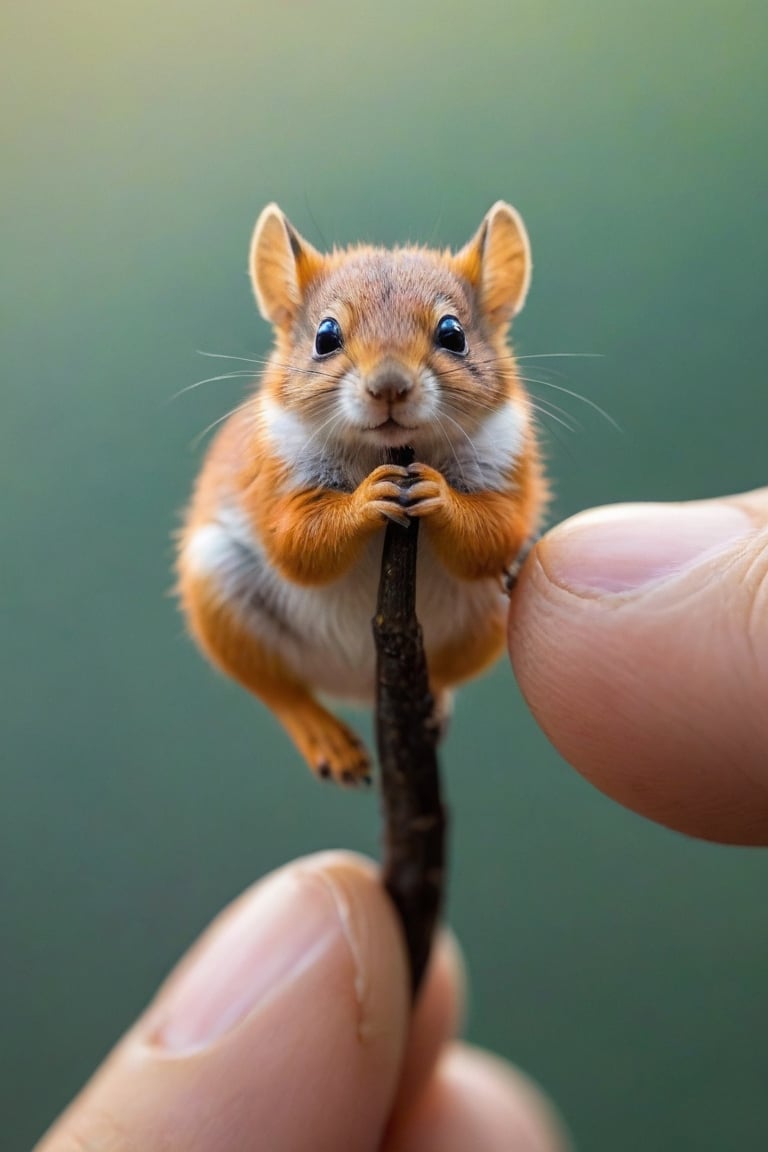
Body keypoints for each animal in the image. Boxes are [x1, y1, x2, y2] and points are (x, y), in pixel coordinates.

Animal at [178, 202, 545, 787]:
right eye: (325, 336)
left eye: (453, 334)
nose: (389, 387)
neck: (382, 452)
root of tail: (356, 681)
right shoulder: (272, 475)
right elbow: (296, 542)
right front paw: (366, 501)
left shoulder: (510, 463)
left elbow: (492, 535)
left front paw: (439, 494)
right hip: (219, 589)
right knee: (279, 691)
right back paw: (326, 738)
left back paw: (432, 704)